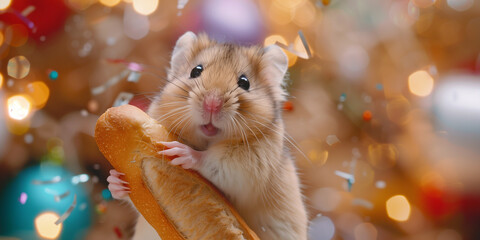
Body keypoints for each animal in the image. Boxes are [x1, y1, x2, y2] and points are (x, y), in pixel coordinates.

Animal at [108, 32, 308, 240]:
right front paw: (116, 181)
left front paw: (179, 151)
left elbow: (213, 161)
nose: (212, 104)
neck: (208, 140)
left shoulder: (250, 166)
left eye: (245, 82)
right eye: (196, 71)